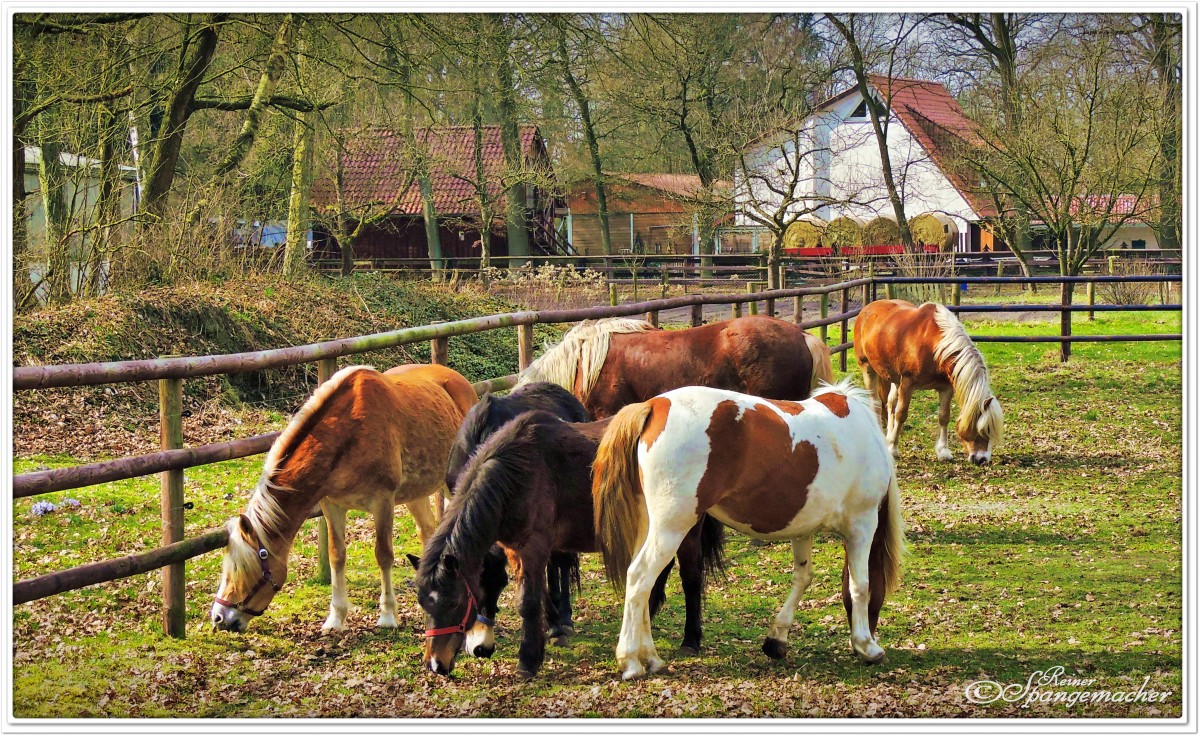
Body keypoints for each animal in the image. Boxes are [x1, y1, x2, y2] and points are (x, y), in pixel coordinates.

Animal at [213, 364, 475, 633]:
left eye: (241, 569)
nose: (219, 618)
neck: (347, 432)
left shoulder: (383, 502)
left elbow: (384, 555)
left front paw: (387, 615)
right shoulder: (332, 505)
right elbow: (336, 556)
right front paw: (336, 618)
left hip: (453, 483)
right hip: (415, 493)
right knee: (428, 530)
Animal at [412, 408, 720, 677]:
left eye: (454, 602)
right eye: (424, 604)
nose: (436, 664)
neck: (518, 472)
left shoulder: (534, 547)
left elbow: (528, 602)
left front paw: (528, 661)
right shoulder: (517, 551)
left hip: (685, 528)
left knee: (690, 578)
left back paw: (690, 639)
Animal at [590, 381, 902, 681]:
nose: (871, 632)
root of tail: (655, 405)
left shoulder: (803, 528)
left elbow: (803, 578)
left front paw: (777, 639)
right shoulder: (862, 524)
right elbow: (860, 586)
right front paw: (868, 646)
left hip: (649, 525)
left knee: (641, 586)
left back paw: (651, 658)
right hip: (671, 528)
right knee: (640, 577)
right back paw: (631, 662)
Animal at [854, 295, 1003, 461]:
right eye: (983, 429)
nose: (982, 460)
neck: (934, 345)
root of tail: (866, 309)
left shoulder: (946, 388)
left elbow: (944, 416)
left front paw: (943, 451)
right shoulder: (907, 383)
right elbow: (901, 414)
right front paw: (893, 448)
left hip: (894, 378)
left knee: (890, 403)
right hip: (868, 368)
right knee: (876, 404)